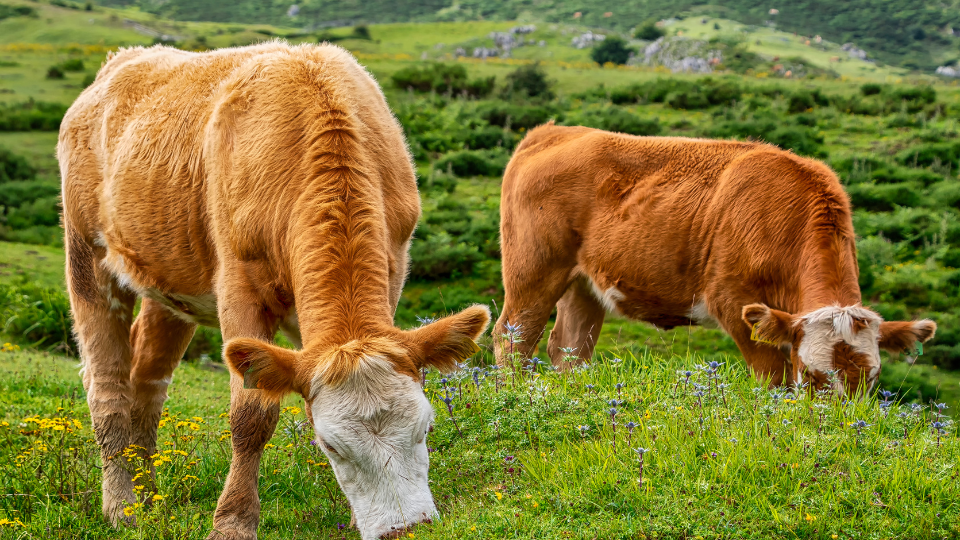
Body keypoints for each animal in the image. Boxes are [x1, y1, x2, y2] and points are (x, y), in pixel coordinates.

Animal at [59, 43, 488, 540]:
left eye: (426, 427)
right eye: (331, 445)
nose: (404, 528)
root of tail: (125, 59)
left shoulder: (390, 271)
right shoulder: (238, 287)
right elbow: (252, 414)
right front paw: (233, 521)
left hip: (169, 281)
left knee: (147, 383)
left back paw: (149, 500)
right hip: (86, 255)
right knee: (107, 386)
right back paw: (122, 507)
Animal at [496, 124, 936, 394]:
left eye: (871, 378)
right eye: (812, 375)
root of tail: (555, 132)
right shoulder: (735, 302)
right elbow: (773, 380)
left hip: (584, 284)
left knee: (569, 349)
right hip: (533, 271)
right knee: (512, 337)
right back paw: (512, 398)